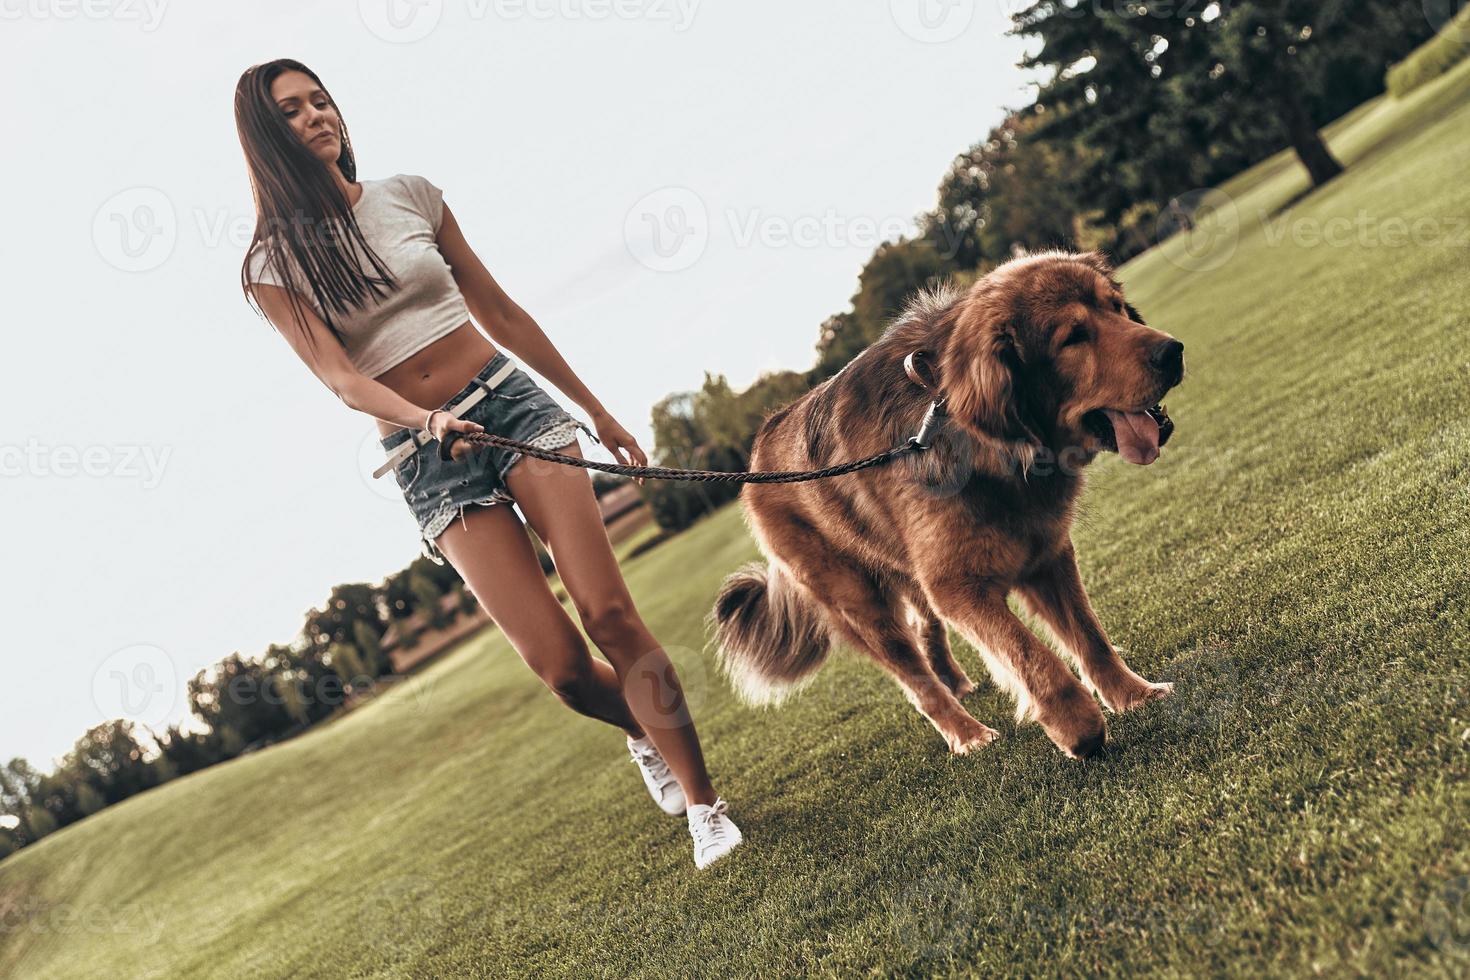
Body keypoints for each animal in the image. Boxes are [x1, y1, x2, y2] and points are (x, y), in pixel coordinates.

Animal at [708, 249, 1181, 758]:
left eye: (1115, 307)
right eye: (1073, 337)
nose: (1174, 351)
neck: (991, 451)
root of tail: (756, 457)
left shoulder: (1048, 556)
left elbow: (1090, 636)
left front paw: (1131, 695)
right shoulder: (959, 586)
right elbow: (1031, 657)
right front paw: (1078, 727)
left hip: (911, 574)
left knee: (925, 633)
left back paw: (957, 686)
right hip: (862, 607)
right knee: (918, 683)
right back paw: (966, 732)